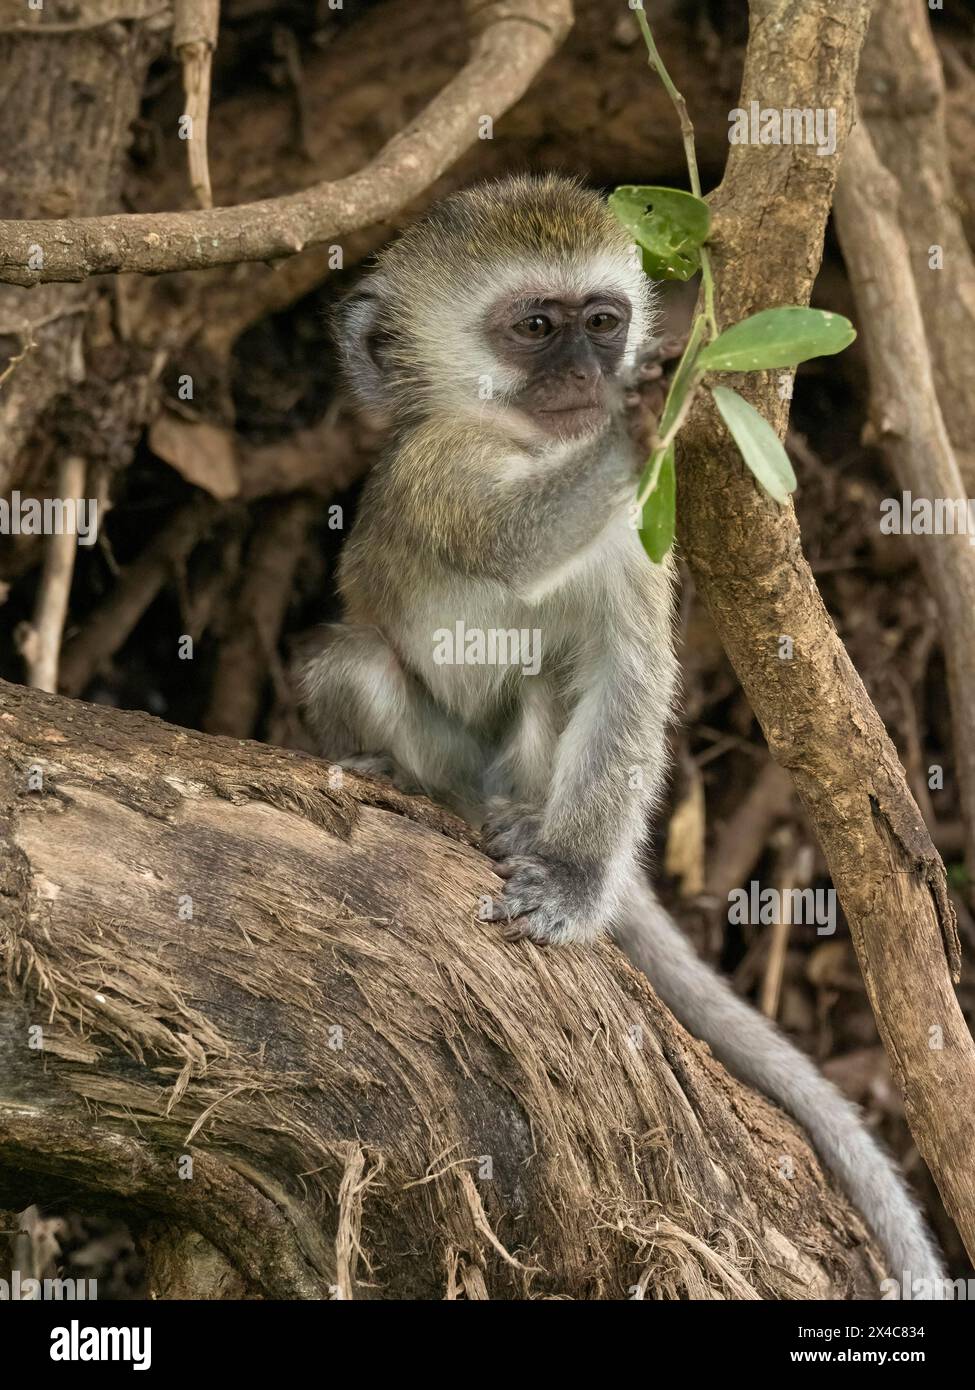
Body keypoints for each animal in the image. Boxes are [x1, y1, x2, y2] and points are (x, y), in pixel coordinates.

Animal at [301, 176, 945, 1289]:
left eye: (600, 322)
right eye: (535, 327)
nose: (591, 374)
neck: (528, 440)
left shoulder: (643, 535)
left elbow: (624, 680)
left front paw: (571, 880)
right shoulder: (439, 465)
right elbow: (512, 540)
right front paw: (649, 414)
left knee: (550, 688)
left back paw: (529, 825)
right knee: (361, 665)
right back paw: (416, 781)